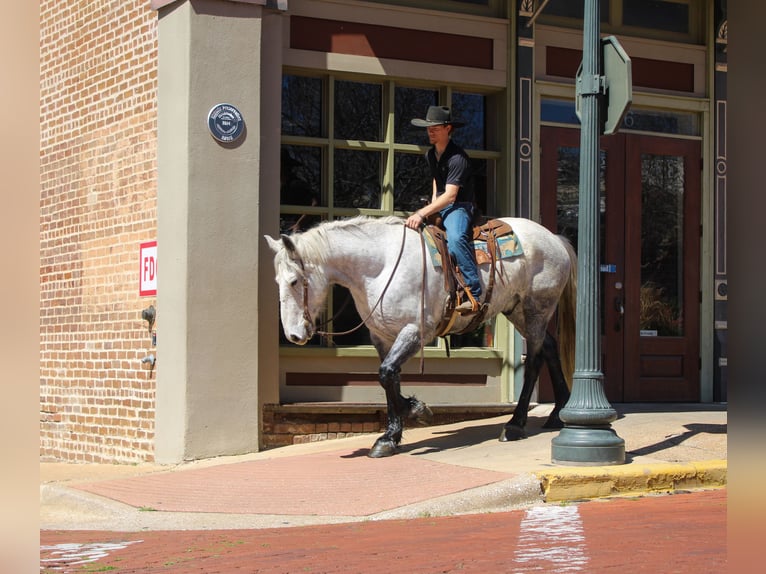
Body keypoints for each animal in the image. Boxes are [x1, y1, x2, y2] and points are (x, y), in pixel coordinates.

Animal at [265, 215, 577, 458]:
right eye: (277, 282)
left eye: (294, 281)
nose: (293, 335)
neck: (381, 266)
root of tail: (554, 238)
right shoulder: (382, 336)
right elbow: (389, 377)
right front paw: (395, 431)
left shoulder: (415, 331)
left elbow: (386, 373)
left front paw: (409, 416)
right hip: (517, 310)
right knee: (549, 347)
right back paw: (557, 412)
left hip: (536, 308)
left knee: (534, 360)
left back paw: (515, 424)